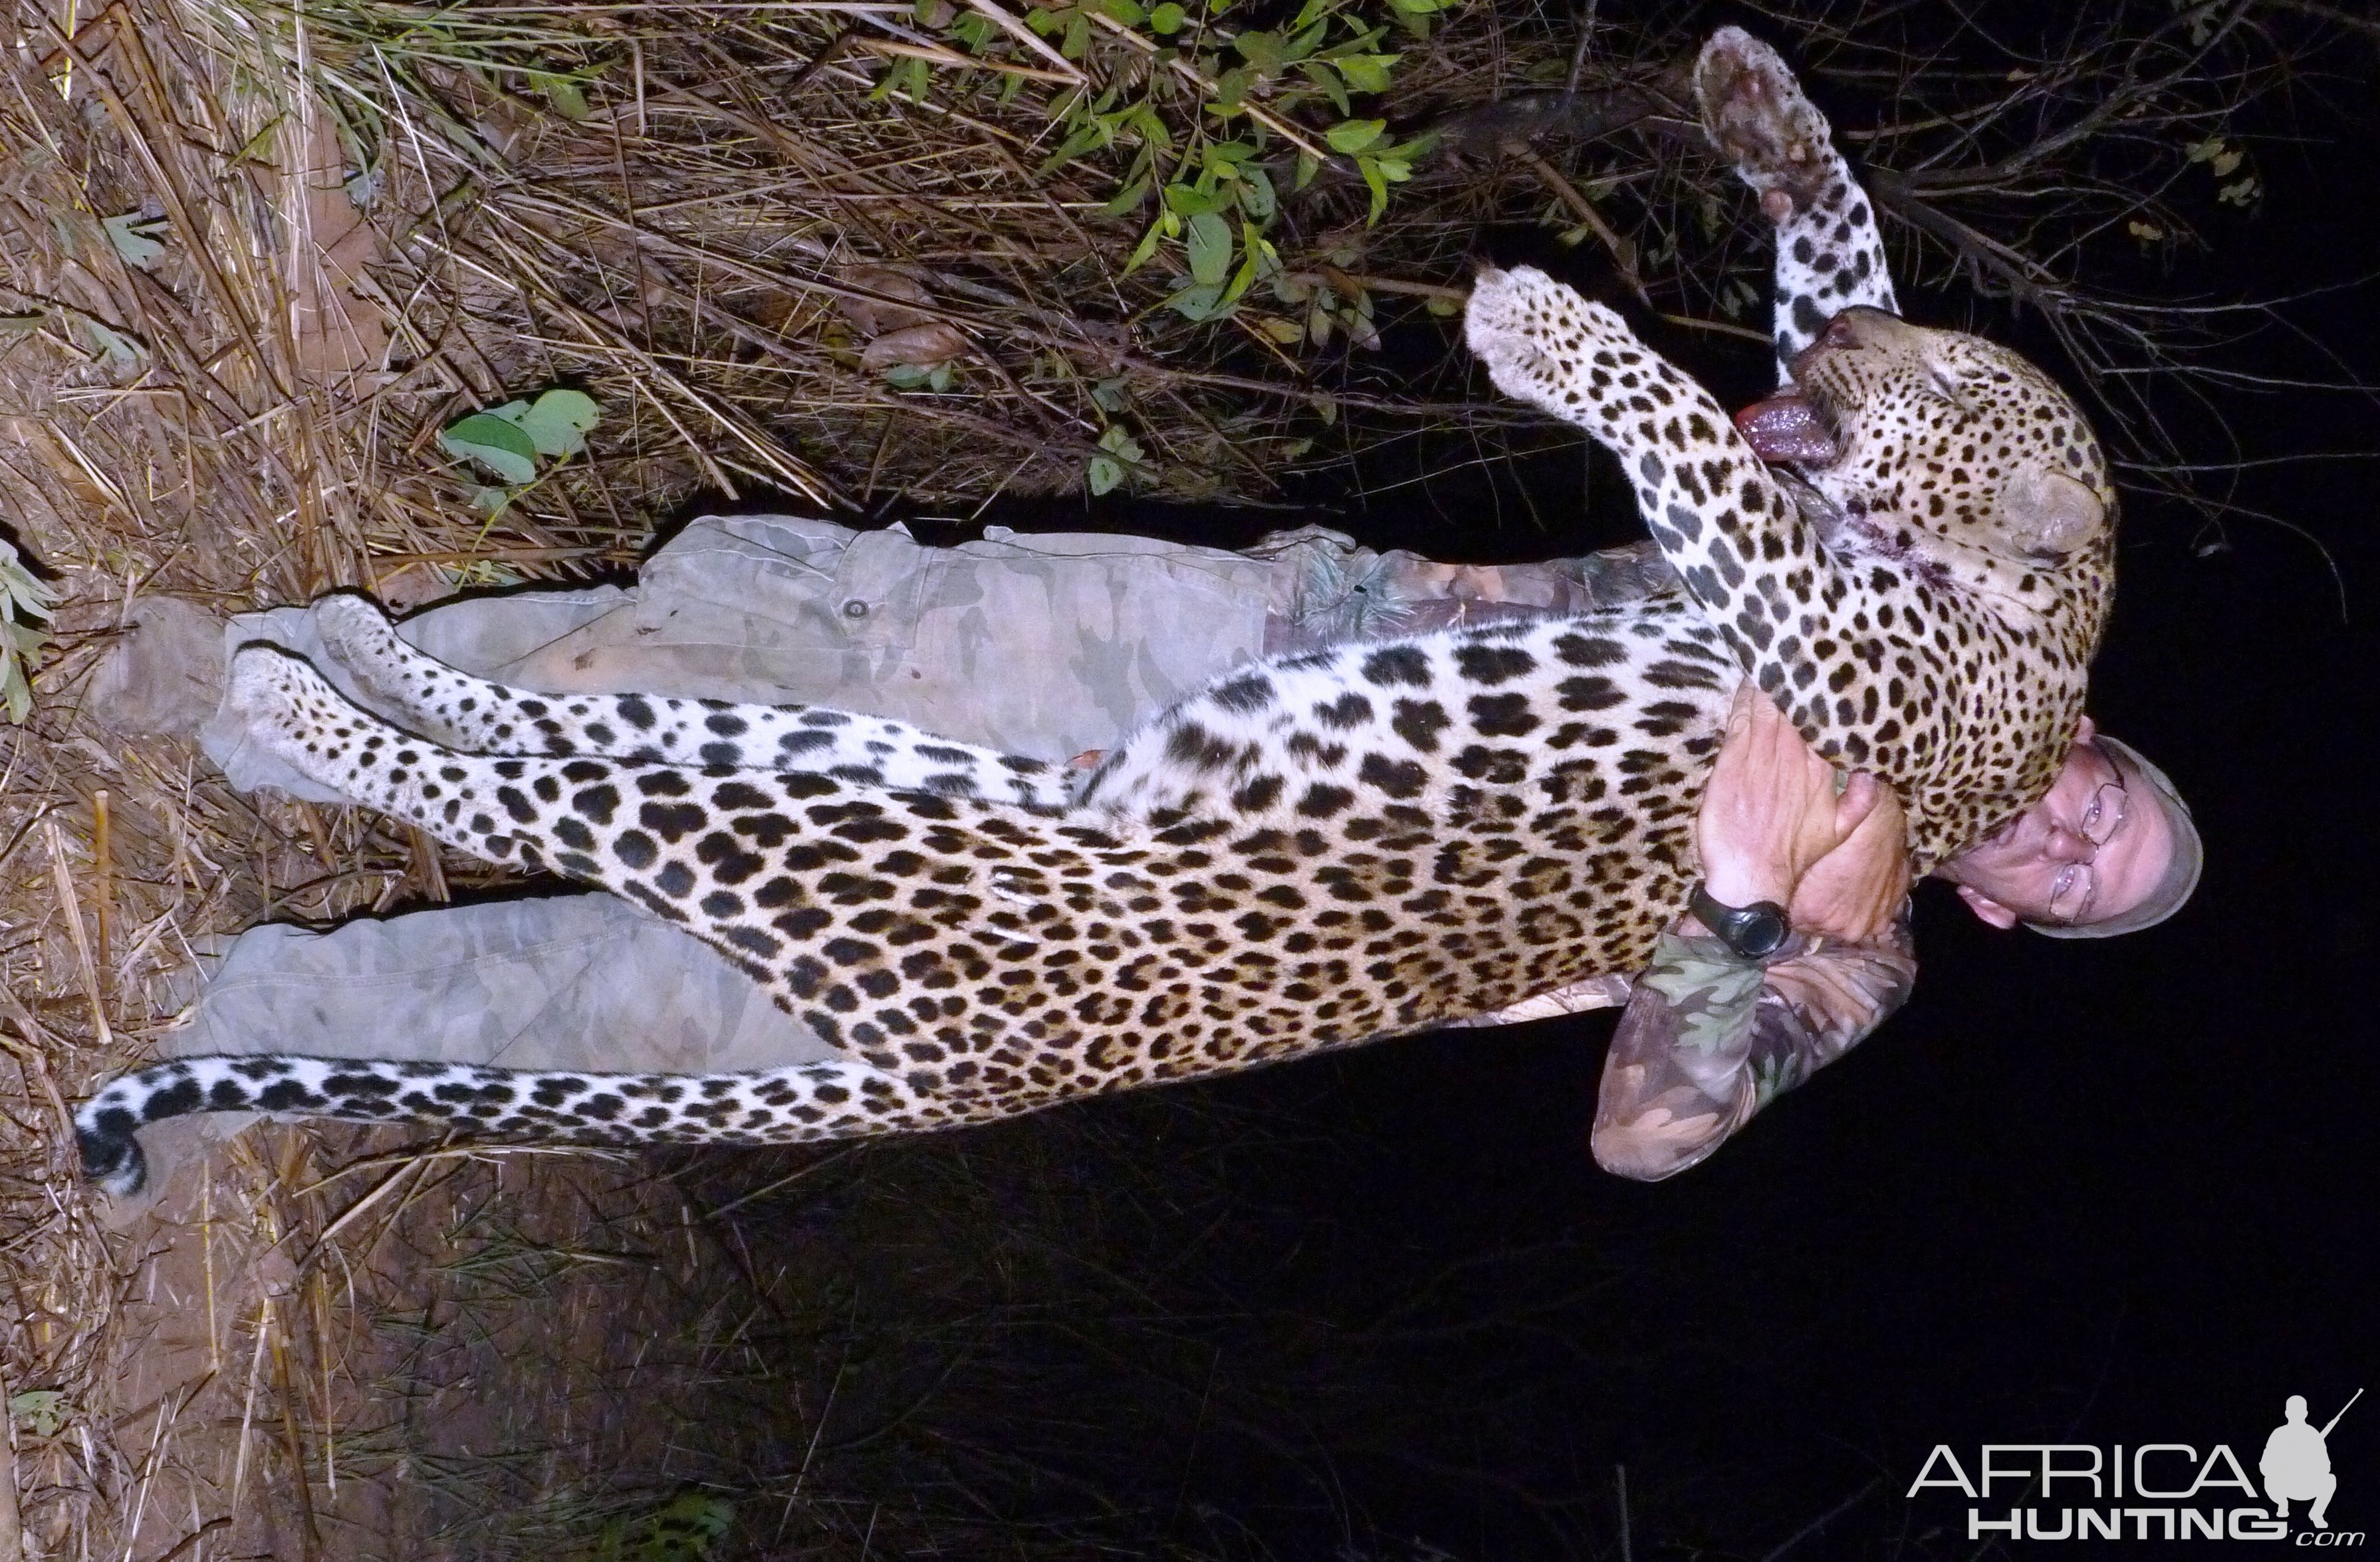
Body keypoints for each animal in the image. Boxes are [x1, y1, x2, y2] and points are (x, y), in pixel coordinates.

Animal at [74, 27, 2123, 1195]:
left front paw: (1544, 326)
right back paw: (343, 654)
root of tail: (963, 1078)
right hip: (871, 761)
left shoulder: (1834, 642)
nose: (1845, 363)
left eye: (1949, 375)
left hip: (848, 846)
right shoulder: (1804, 535)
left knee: (531, 789)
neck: (2031, 619)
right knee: (562, 727)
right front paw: (1754, 115)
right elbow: (1802, 282)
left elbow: (1692, 441)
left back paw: (298, 698)